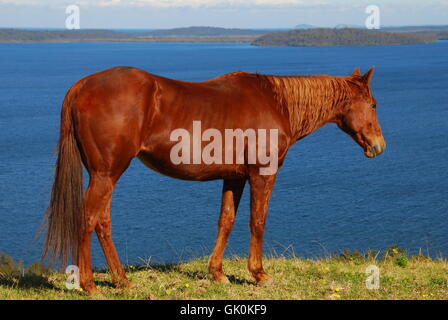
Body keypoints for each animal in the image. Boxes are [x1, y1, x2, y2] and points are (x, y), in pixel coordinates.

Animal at [43, 66, 384, 294]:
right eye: (374, 104)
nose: (379, 145)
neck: (277, 102)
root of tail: (82, 85)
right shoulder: (262, 173)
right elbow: (257, 221)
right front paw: (259, 274)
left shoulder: (234, 178)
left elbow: (226, 221)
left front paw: (217, 273)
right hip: (106, 174)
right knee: (88, 219)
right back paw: (89, 285)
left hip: (106, 176)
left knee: (102, 222)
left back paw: (122, 280)